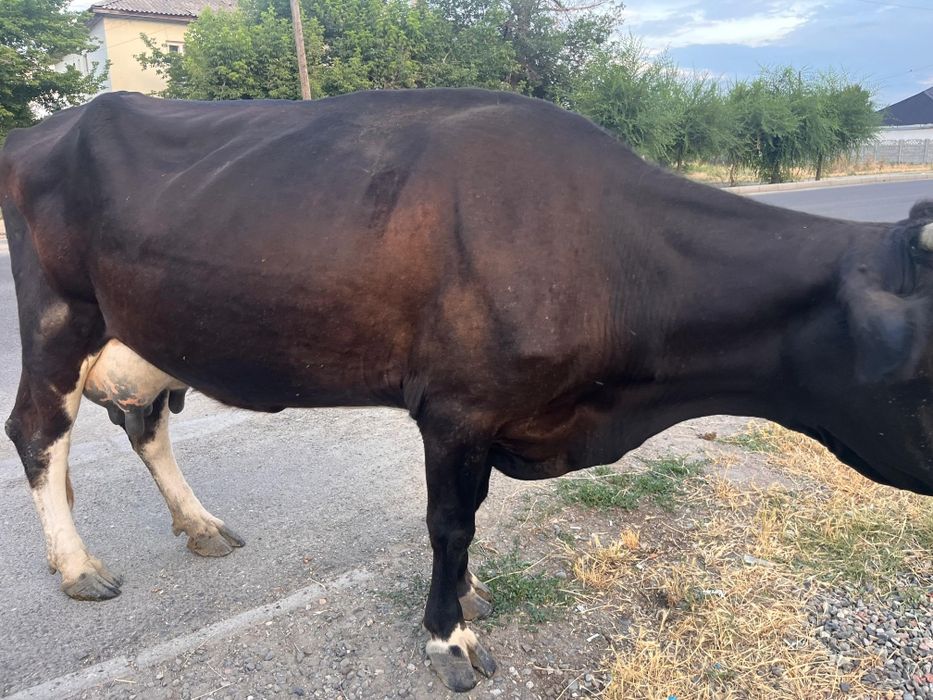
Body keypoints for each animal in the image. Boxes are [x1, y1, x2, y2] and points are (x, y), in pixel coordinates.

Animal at [2, 88, 933, 692]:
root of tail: (47, 127)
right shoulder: (457, 406)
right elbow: (451, 522)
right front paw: (449, 635)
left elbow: (468, 519)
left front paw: (467, 597)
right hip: (58, 318)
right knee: (38, 430)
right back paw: (78, 565)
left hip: (148, 329)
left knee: (142, 422)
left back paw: (197, 525)